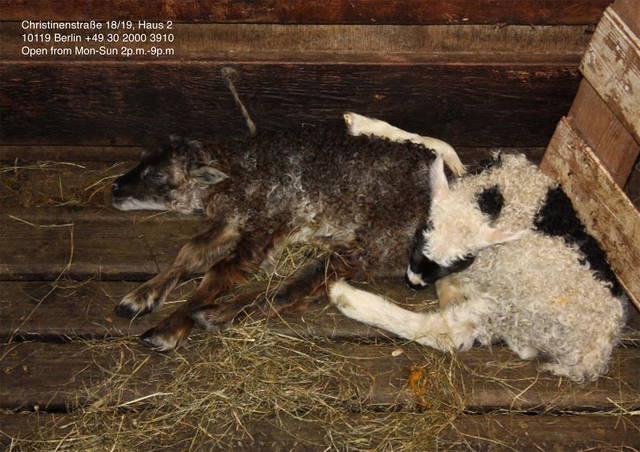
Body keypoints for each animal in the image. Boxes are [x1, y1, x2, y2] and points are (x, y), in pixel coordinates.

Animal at [111, 112, 466, 351]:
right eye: (141, 160)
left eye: (156, 175)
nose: (114, 187)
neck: (240, 170)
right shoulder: (235, 220)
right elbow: (191, 253)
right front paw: (140, 296)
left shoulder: (267, 221)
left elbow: (218, 272)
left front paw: (168, 328)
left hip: (373, 240)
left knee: (297, 288)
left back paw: (216, 314)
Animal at [329, 152, 626, 382]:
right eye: (420, 234)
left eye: (463, 258)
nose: (413, 283)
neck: (493, 195)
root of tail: (594, 354)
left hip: (513, 305)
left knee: (447, 332)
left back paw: (349, 299)